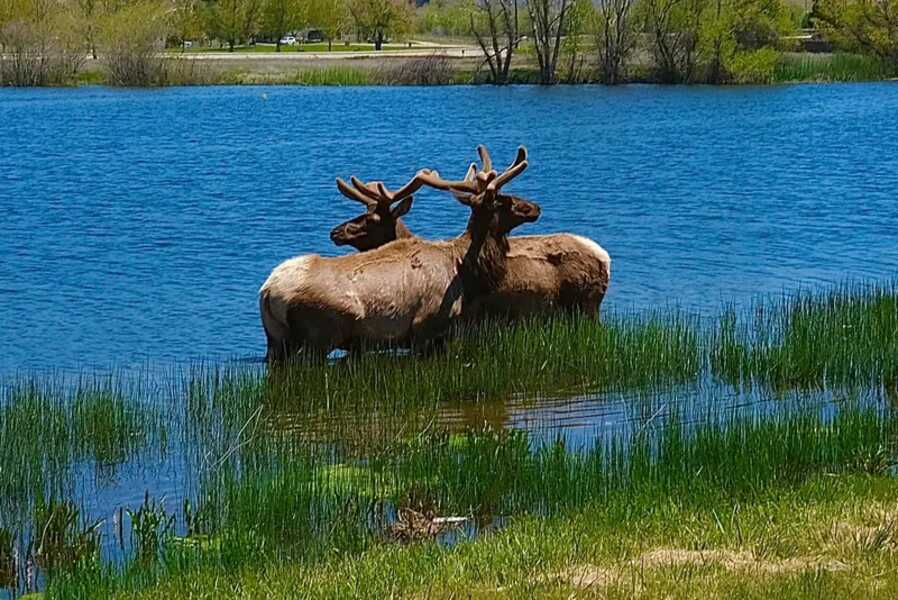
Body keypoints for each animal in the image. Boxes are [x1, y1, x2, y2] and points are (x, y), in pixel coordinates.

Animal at [258, 148, 540, 364]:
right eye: (502, 199)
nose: (535, 207)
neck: (465, 272)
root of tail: (268, 291)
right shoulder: (427, 327)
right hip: (317, 335)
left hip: (276, 340)